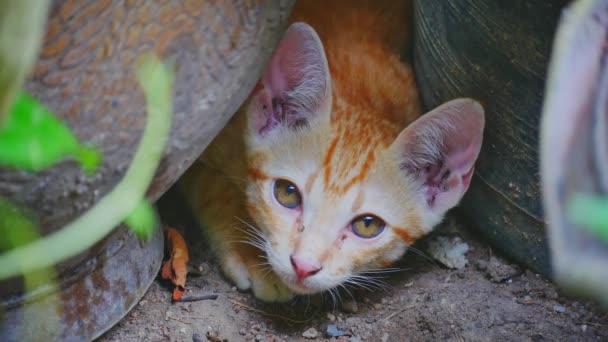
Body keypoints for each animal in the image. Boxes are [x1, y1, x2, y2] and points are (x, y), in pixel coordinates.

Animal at [179, 0, 484, 300]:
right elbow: (213, 186)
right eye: (287, 193)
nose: (303, 266)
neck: (360, 96)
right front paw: (251, 253)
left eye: (367, 225)